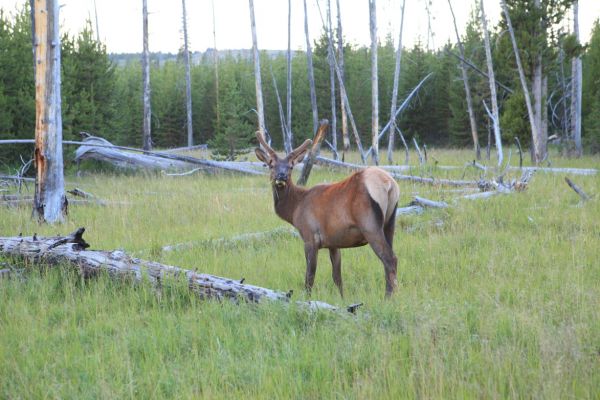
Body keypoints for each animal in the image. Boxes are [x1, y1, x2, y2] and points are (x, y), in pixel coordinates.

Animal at [255, 128, 400, 296]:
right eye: (271, 164)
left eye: (291, 166)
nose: (281, 176)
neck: (295, 208)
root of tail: (389, 184)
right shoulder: (333, 242)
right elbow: (337, 277)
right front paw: (342, 298)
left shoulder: (310, 236)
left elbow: (309, 277)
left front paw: (308, 299)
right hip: (390, 223)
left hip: (370, 224)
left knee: (389, 259)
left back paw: (389, 297)